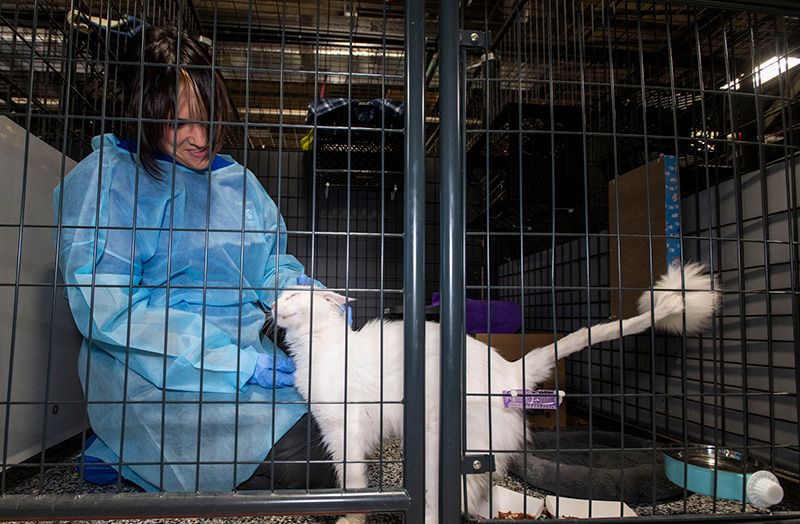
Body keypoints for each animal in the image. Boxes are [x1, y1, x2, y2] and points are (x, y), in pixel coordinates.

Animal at [274, 262, 720, 524]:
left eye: (292, 295)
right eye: (281, 296)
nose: (272, 304)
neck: (319, 344)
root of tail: (508, 369)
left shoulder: (345, 430)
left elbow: (353, 482)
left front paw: (349, 515)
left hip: (440, 450)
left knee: (450, 502)